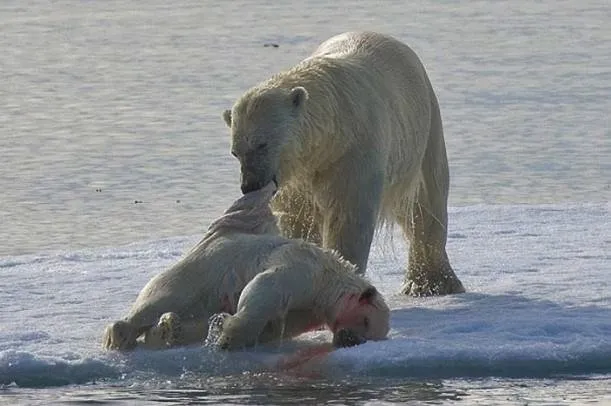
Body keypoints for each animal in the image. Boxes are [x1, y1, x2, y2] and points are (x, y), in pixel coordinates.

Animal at [224, 30, 464, 294]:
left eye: (262, 144)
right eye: (236, 152)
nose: (250, 185)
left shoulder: (354, 150)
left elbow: (349, 216)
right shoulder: (299, 175)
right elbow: (297, 216)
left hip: (424, 130)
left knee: (426, 203)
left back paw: (431, 283)